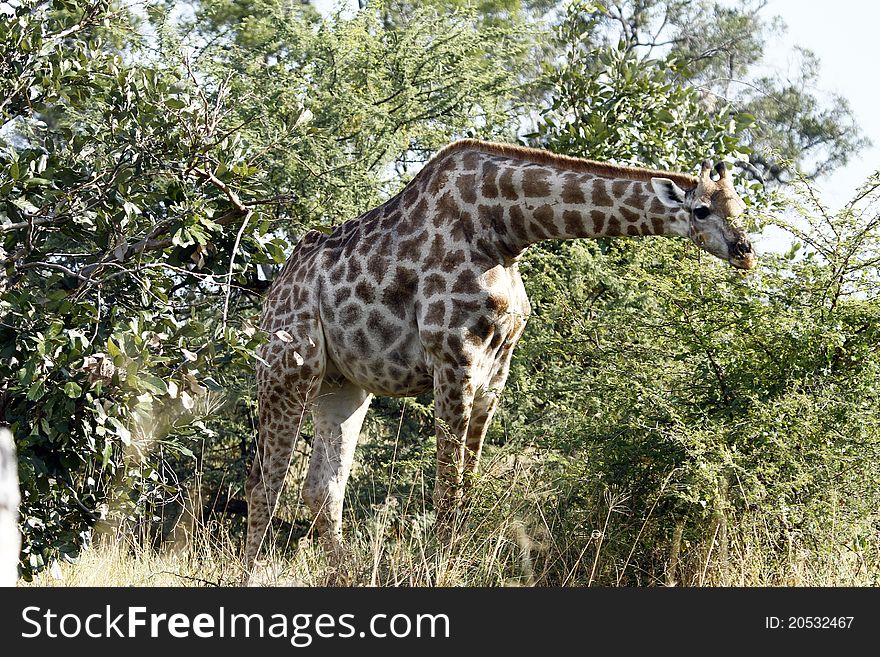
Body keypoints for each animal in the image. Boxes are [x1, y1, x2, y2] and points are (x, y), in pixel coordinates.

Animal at [246, 140, 756, 576]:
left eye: (742, 208)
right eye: (701, 209)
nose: (746, 250)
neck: (505, 228)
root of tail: (273, 293)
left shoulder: (497, 367)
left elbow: (467, 481)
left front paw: (451, 557)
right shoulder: (453, 356)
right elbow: (448, 481)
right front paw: (441, 565)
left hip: (342, 384)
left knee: (321, 489)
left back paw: (346, 574)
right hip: (288, 368)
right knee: (264, 484)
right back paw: (252, 573)